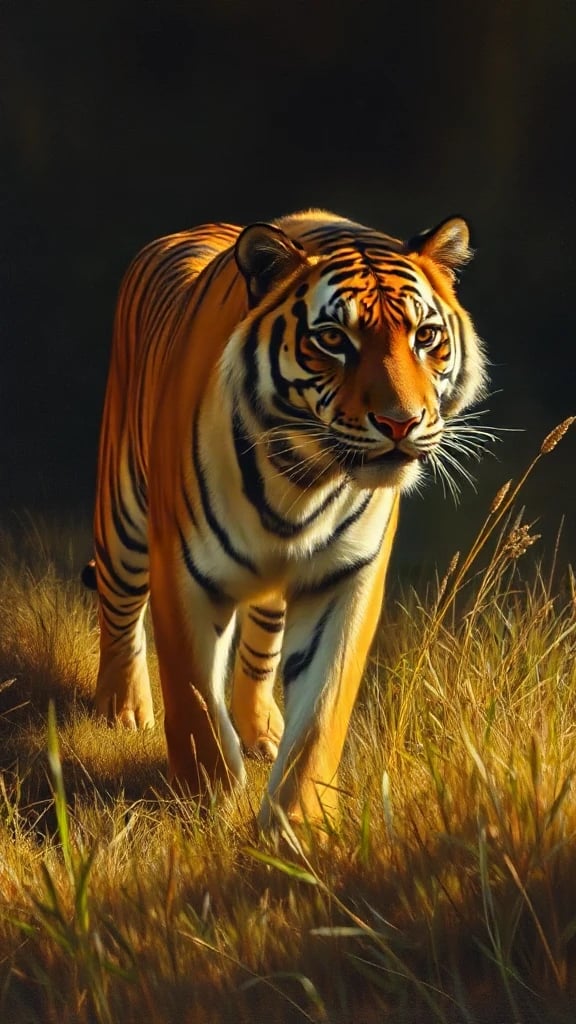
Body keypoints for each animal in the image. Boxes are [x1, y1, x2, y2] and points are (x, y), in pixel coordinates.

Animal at [88, 208, 486, 830]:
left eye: (426, 336)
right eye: (334, 340)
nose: (401, 422)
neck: (302, 476)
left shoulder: (345, 580)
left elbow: (321, 716)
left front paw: (298, 823)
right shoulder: (182, 570)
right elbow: (195, 700)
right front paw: (207, 804)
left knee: (260, 652)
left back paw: (262, 732)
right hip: (124, 513)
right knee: (120, 610)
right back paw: (123, 707)